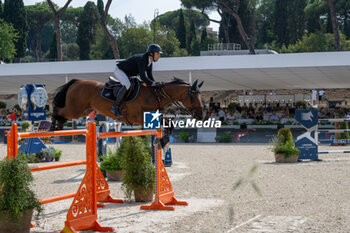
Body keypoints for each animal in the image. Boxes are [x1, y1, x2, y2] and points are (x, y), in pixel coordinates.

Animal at [51, 78, 205, 133]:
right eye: (193, 96)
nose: (201, 115)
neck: (155, 95)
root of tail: (77, 81)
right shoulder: (139, 117)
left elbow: (168, 121)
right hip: (74, 109)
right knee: (57, 109)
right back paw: (53, 126)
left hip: (84, 110)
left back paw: (58, 126)